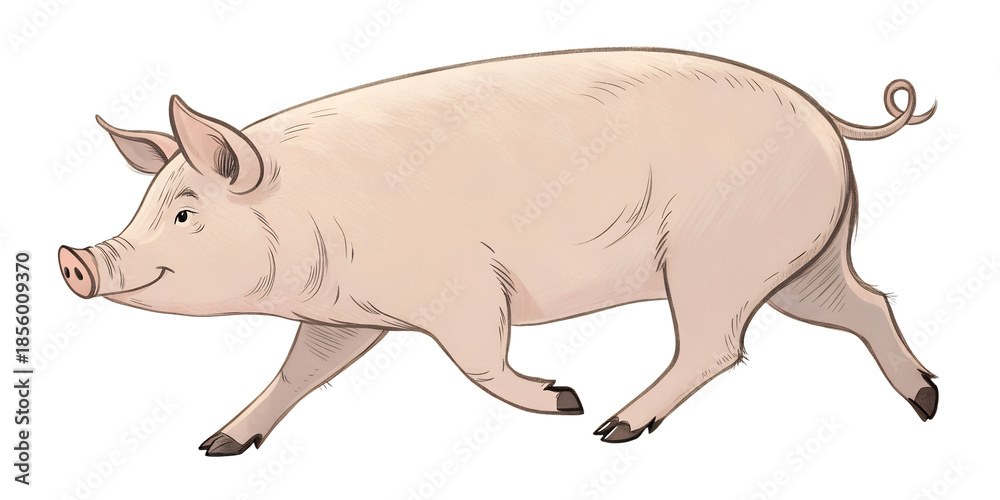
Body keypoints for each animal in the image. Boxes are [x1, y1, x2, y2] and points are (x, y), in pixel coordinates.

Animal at [59, 47, 938, 454]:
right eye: (145, 205)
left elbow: (479, 364)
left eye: (183, 213)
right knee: (868, 303)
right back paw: (925, 401)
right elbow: (300, 371)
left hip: (711, 256)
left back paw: (610, 426)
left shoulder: (465, 289)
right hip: (800, 259)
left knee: (717, 345)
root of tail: (825, 114)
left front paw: (563, 397)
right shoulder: (349, 315)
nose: (74, 258)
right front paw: (217, 446)